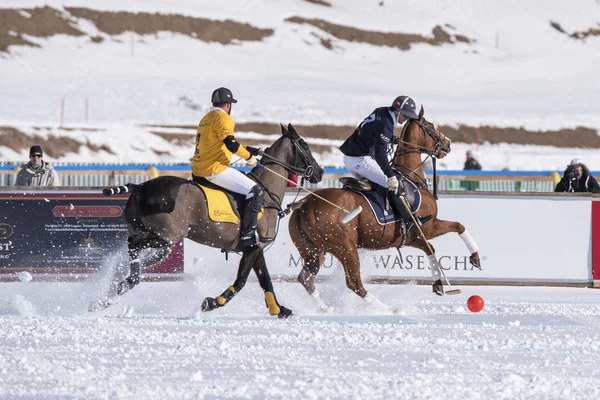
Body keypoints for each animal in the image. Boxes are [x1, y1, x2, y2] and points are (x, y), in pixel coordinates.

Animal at [288, 106, 480, 312]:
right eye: (430, 126)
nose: (448, 144)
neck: (411, 176)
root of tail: (304, 203)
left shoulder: (412, 237)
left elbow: (440, 241)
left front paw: (445, 279)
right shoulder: (426, 228)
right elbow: (450, 233)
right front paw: (468, 263)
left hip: (313, 251)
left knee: (306, 278)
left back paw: (325, 308)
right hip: (345, 247)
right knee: (354, 282)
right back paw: (386, 308)